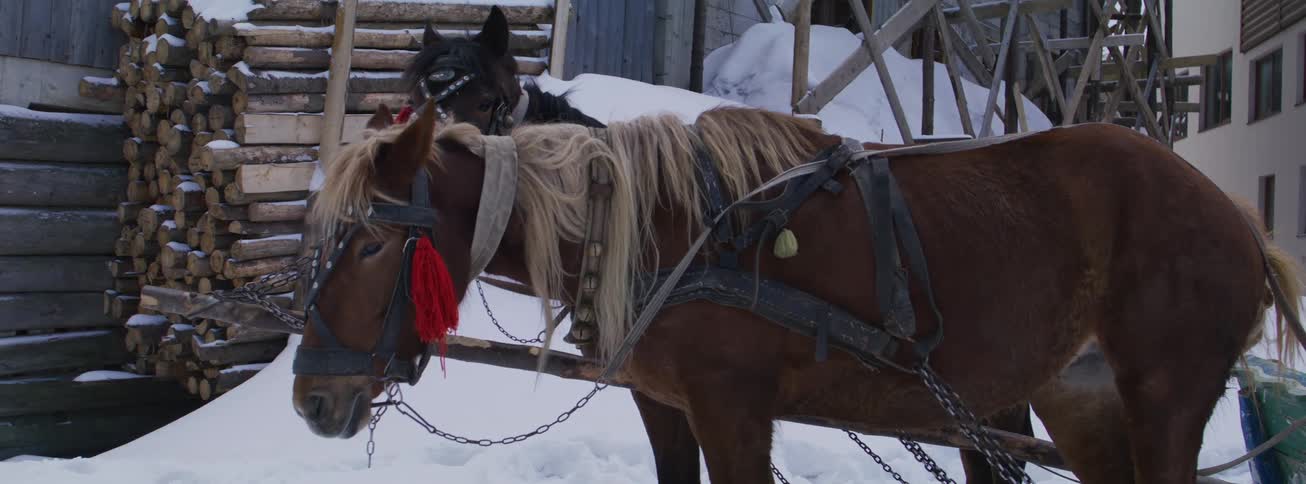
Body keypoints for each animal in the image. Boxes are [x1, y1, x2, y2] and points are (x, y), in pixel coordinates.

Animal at [291, 86, 1305, 483]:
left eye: (373, 245)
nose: (310, 401)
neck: (670, 231)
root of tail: (1239, 221)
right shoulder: (667, 406)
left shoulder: (733, 406)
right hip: (1078, 399)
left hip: (1165, 394)